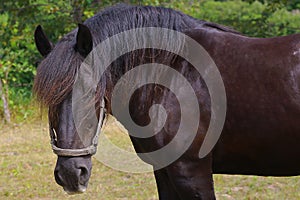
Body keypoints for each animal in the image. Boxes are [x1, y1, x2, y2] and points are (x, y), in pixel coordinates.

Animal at [33, 3, 300, 199]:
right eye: (48, 97)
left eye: (91, 91)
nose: (70, 174)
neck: (169, 71)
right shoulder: (163, 171)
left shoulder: (190, 172)